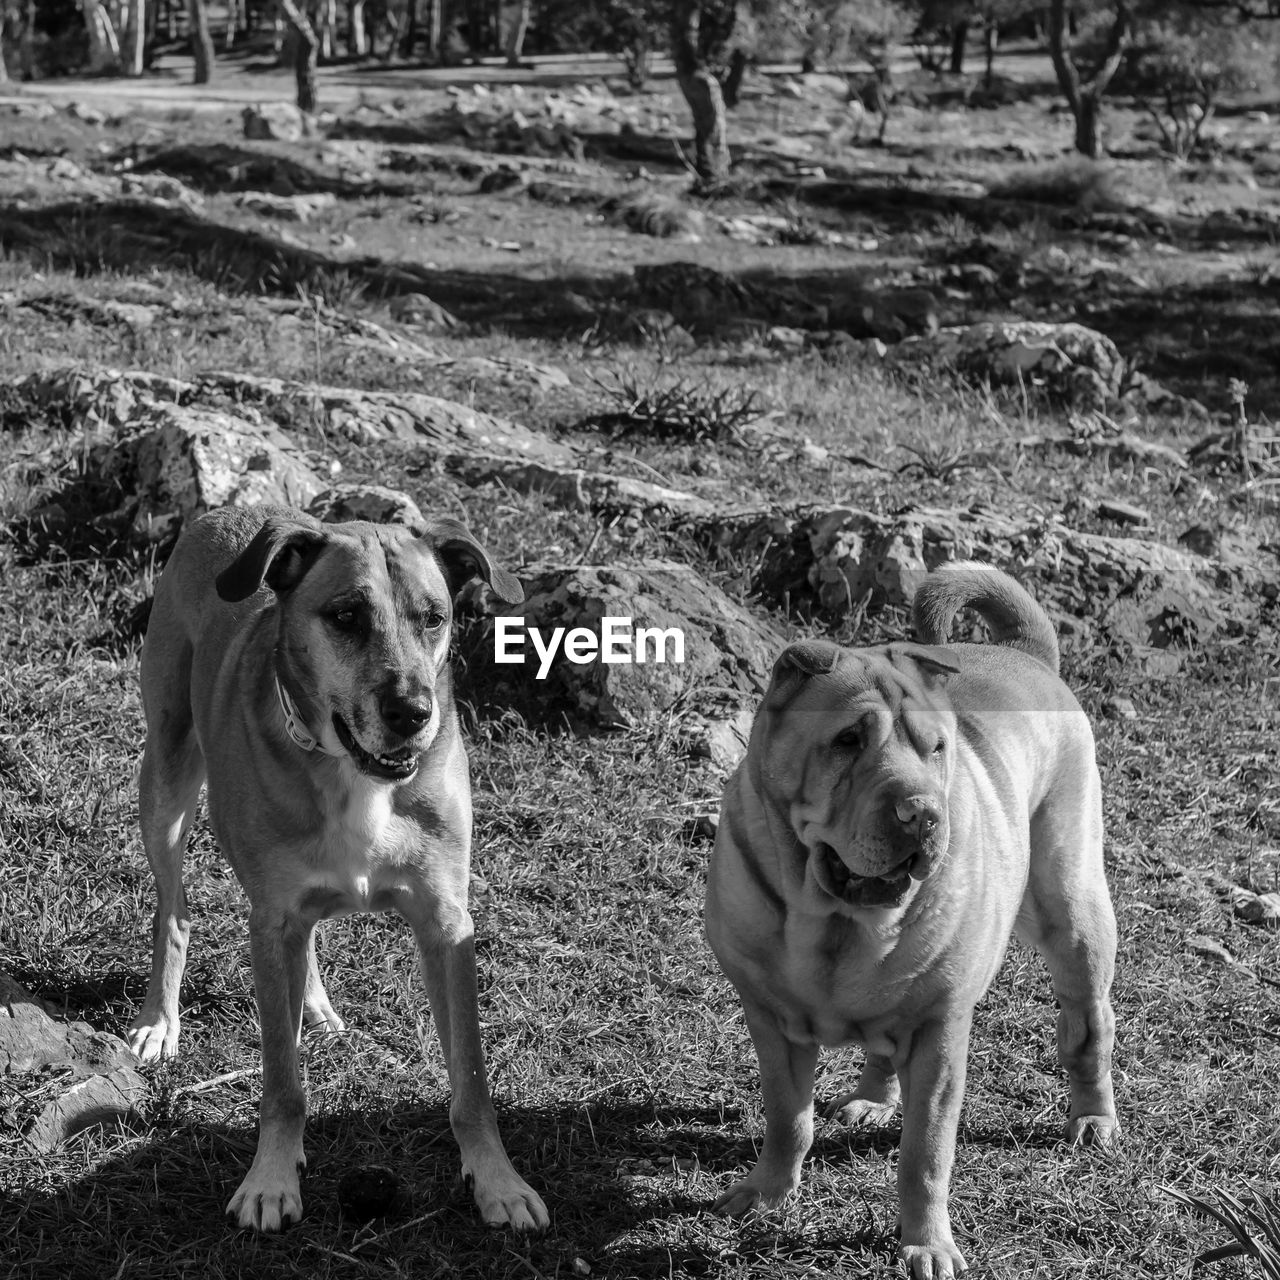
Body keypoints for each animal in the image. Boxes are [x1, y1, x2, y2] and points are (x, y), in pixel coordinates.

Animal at [128, 504, 550, 1233]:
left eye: (433, 617)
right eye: (347, 615)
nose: (411, 713)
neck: (354, 771)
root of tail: (229, 509)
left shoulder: (446, 923)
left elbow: (471, 1078)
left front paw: (499, 1180)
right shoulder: (271, 920)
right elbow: (281, 1082)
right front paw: (270, 1179)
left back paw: (315, 1005)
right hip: (166, 781)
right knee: (174, 909)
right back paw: (162, 1019)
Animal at [706, 565, 1116, 1274]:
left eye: (936, 748)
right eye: (847, 741)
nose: (922, 812)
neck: (837, 919)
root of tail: (1030, 656)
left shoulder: (940, 1034)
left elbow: (925, 1153)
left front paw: (927, 1246)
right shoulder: (770, 1020)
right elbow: (788, 1116)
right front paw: (764, 1195)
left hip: (1072, 911)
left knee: (1089, 1026)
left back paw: (1093, 1119)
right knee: (878, 1051)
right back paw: (871, 1101)